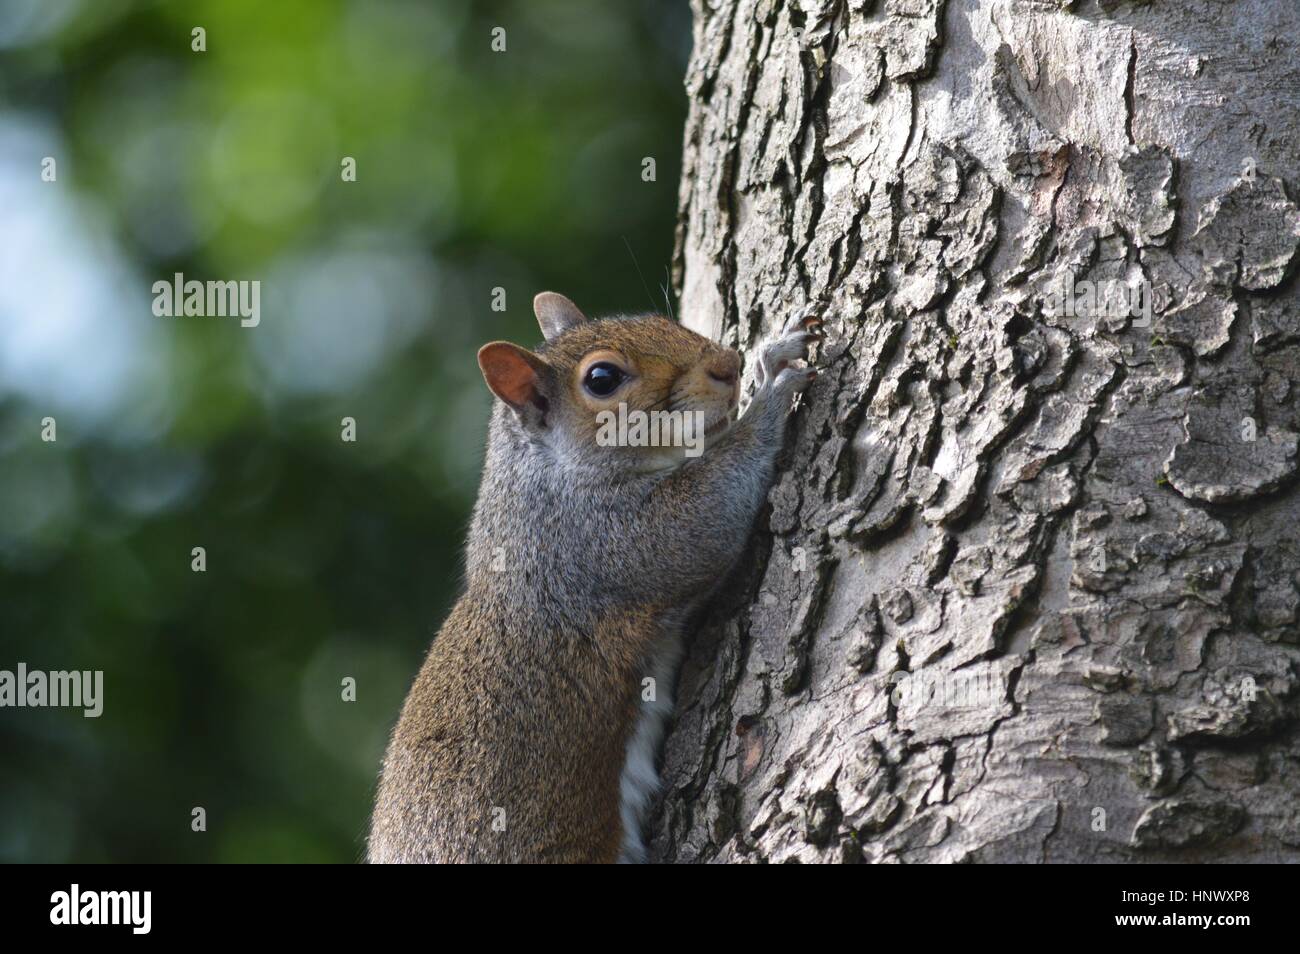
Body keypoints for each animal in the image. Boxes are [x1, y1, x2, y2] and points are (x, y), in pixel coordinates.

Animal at [366, 293, 821, 868]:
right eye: (602, 379)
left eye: (657, 318)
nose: (728, 365)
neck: (551, 478)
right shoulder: (598, 545)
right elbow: (703, 519)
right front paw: (772, 385)